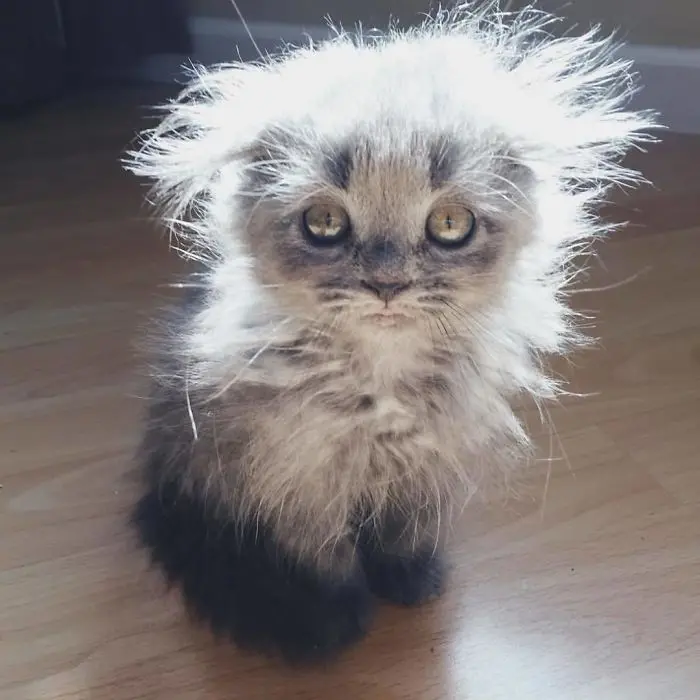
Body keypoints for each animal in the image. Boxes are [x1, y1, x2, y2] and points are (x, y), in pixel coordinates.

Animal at [126, 4, 656, 660]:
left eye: (449, 224)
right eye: (325, 222)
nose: (387, 284)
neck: (380, 388)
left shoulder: (428, 463)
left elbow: (408, 534)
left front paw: (413, 582)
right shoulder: (297, 476)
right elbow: (324, 558)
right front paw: (342, 614)